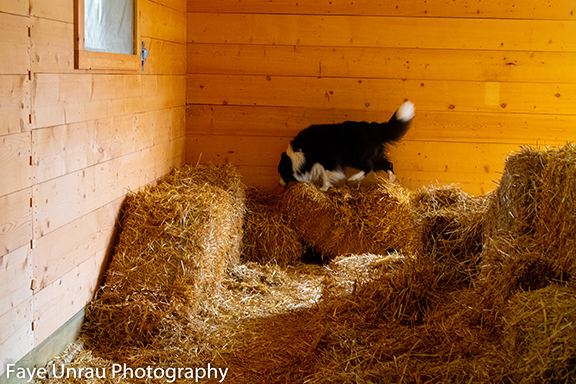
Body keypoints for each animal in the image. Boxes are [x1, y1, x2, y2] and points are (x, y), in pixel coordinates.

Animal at [280, 101, 414, 191]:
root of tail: (375, 129)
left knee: (368, 168)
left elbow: (327, 175)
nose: (279, 184)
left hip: (357, 157)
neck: (301, 152)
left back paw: (353, 178)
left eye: (281, 172)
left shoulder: (330, 161)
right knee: (388, 164)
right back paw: (390, 182)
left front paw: (323, 188)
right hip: (375, 156)